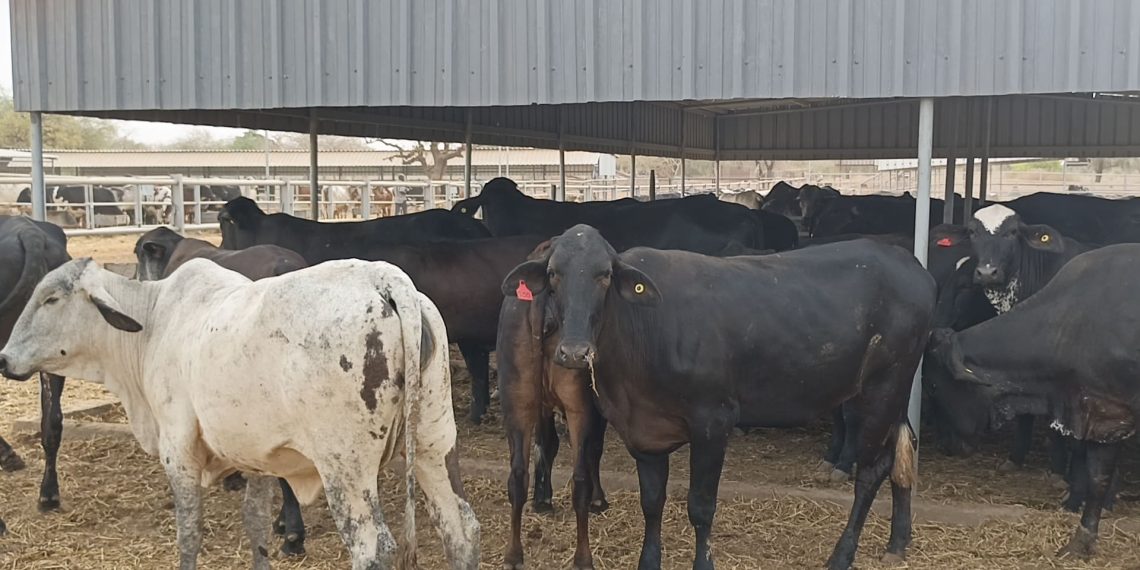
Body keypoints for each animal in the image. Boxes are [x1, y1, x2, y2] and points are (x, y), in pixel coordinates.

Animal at [0, 258, 480, 570]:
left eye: (51, 299)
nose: (4, 358)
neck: (154, 324)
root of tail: (386, 278)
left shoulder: (178, 450)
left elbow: (189, 533)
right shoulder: (259, 458)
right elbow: (256, 525)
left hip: (345, 466)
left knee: (372, 547)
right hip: (434, 444)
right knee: (460, 528)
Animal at [501, 225, 934, 570]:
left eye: (604, 276)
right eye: (553, 274)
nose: (574, 352)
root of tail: (906, 261)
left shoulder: (713, 420)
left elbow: (701, 506)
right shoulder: (643, 431)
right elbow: (652, 502)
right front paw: (648, 562)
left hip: (880, 390)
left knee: (872, 471)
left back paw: (842, 556)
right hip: (896, 392)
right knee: (904, 449)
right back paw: (899, 541)